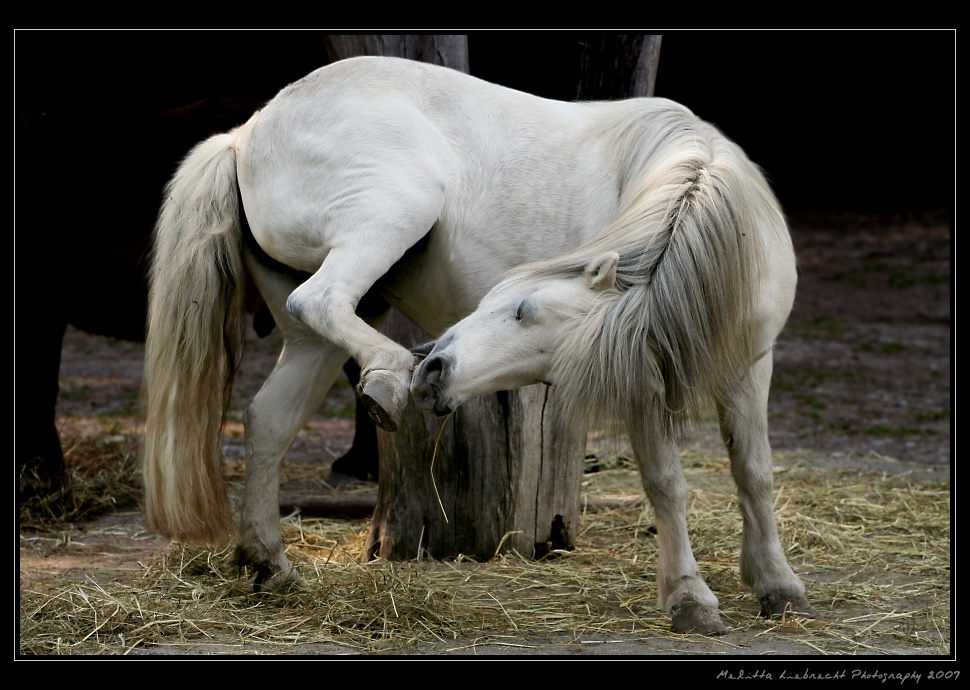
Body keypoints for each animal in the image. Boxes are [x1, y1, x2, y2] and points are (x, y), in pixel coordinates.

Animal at [140, 55, 812, 636]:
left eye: (522, 311)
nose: (438, 368)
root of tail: (245, 133)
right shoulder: (641, 383)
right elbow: (668, 484)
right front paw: (690, 598)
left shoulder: (750, 367)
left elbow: (754, 471)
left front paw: (777, 585)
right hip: (390, 217)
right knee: (322, 302)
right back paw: (390, 378)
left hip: (311, 340)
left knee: (270, 418)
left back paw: (269, 563)